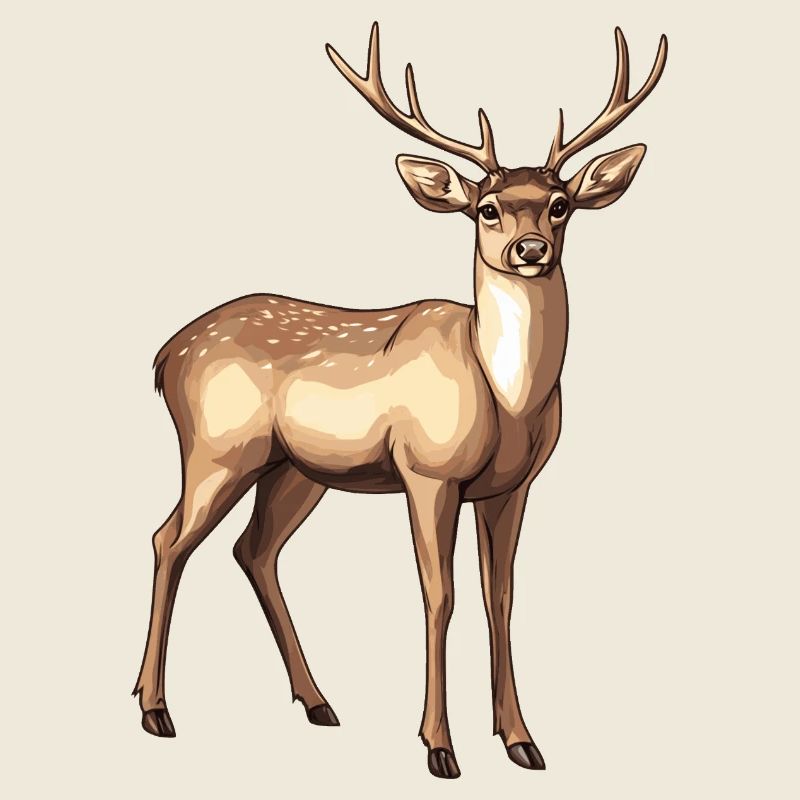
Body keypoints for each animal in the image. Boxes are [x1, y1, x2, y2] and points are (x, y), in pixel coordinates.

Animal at [133, 22, 667, 779]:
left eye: (561, 204)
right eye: (487, 209)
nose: (531, 248)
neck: (507, 402)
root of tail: (165, 355)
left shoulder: (512, 486)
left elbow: (500, 597)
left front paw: (522, 740)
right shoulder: (427, 470)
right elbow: (439, 596)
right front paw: (439, 747)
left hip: (295, 470)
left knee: (253, 549)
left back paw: (319, 702)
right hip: (217, 447)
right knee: (169, 539)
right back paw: (155, 709)